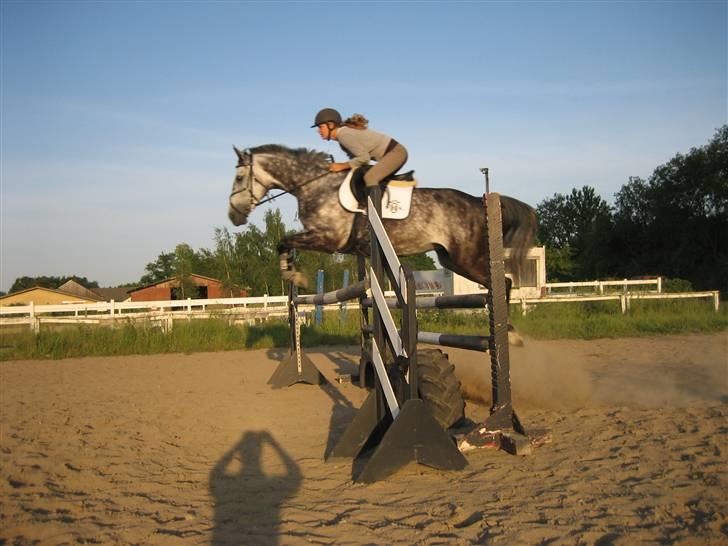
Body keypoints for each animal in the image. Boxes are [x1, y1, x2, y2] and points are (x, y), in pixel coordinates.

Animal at [230, 144, 536, 302]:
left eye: (238, 178)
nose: (234, 215)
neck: (314, 185)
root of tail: (475, 200)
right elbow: (283, 243)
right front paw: (292, 275)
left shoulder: (327, 238)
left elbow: (283, 240)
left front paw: (296, 277)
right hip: (451, 259)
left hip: (467, 257)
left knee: (504, 281)